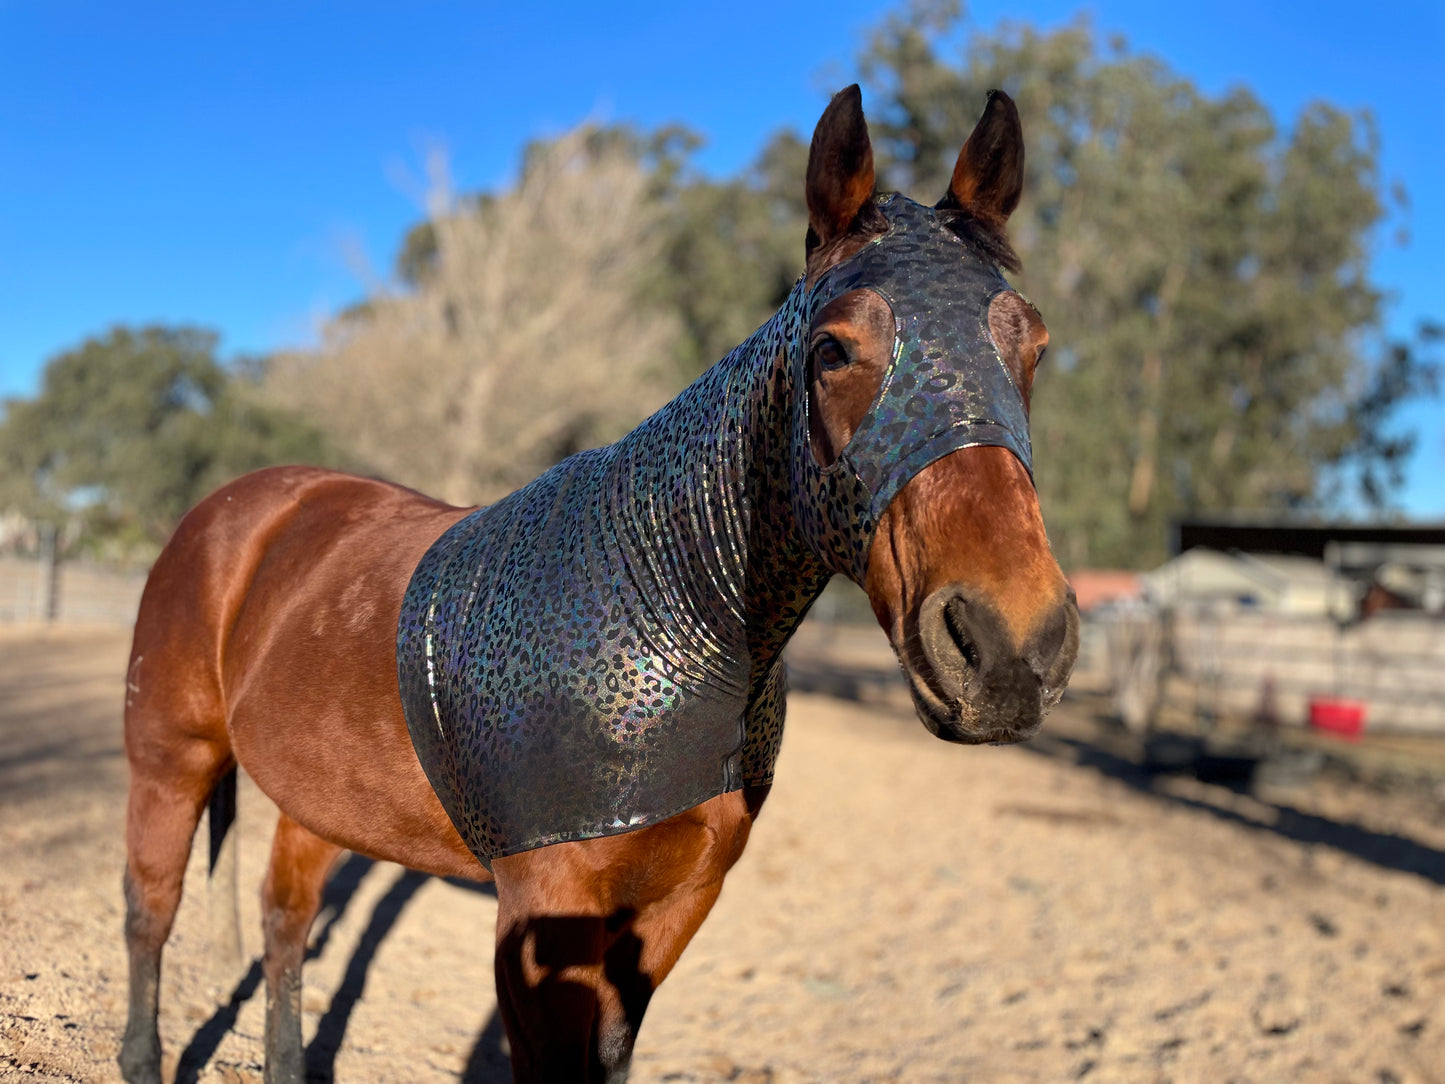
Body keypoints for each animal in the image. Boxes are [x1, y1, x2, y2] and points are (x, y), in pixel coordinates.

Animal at [118, 87, 1080, 1084]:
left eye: (1035, 348)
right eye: (833, 350)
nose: (1007, 648)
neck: (666, 603)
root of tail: (238, 508)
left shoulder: (674, 906)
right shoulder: (543, 920)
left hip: (313, 799)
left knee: (283, 924)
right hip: (170, 760)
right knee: (150, 911)